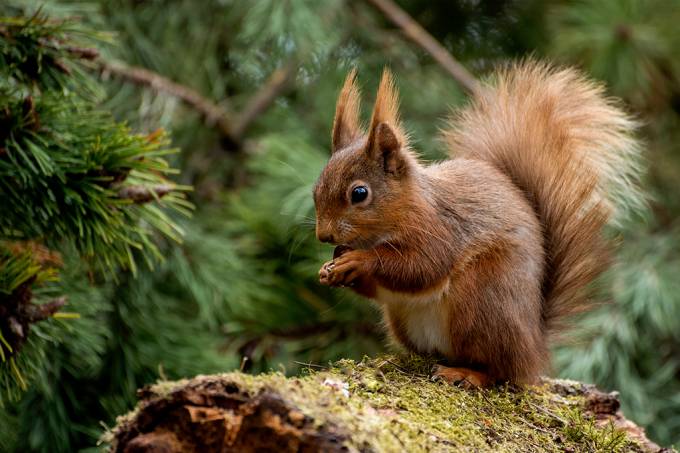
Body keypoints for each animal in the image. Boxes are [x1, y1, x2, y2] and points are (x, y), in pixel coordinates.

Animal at [314, 59, 644, 384]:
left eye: (359, 193)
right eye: (316, 189)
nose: (323, 235)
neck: (408, 206)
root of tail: (534, 348)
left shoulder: (440, 229)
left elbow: (421, 267)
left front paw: (359, 260)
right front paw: (332, 268)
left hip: (481, 300)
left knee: (501, 372)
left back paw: (466, 373)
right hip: (405, 320)